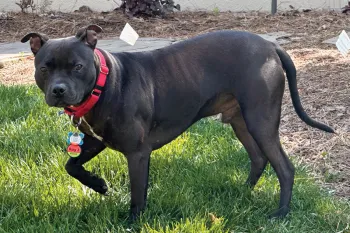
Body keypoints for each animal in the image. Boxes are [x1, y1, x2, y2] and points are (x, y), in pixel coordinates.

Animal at [21, 25, 334, 220]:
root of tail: (270, 46)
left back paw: (280, 213)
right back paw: (241, 192)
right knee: (258, 159)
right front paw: (98, 185)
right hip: (240, 121)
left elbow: (137, 194)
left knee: (284, 167)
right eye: (45, 68)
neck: (105, 83)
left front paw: (132, 221)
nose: (58, 90)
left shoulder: (137, 153)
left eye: (77, 66)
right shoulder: (96, 140)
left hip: (261, 120)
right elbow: (71, 165)